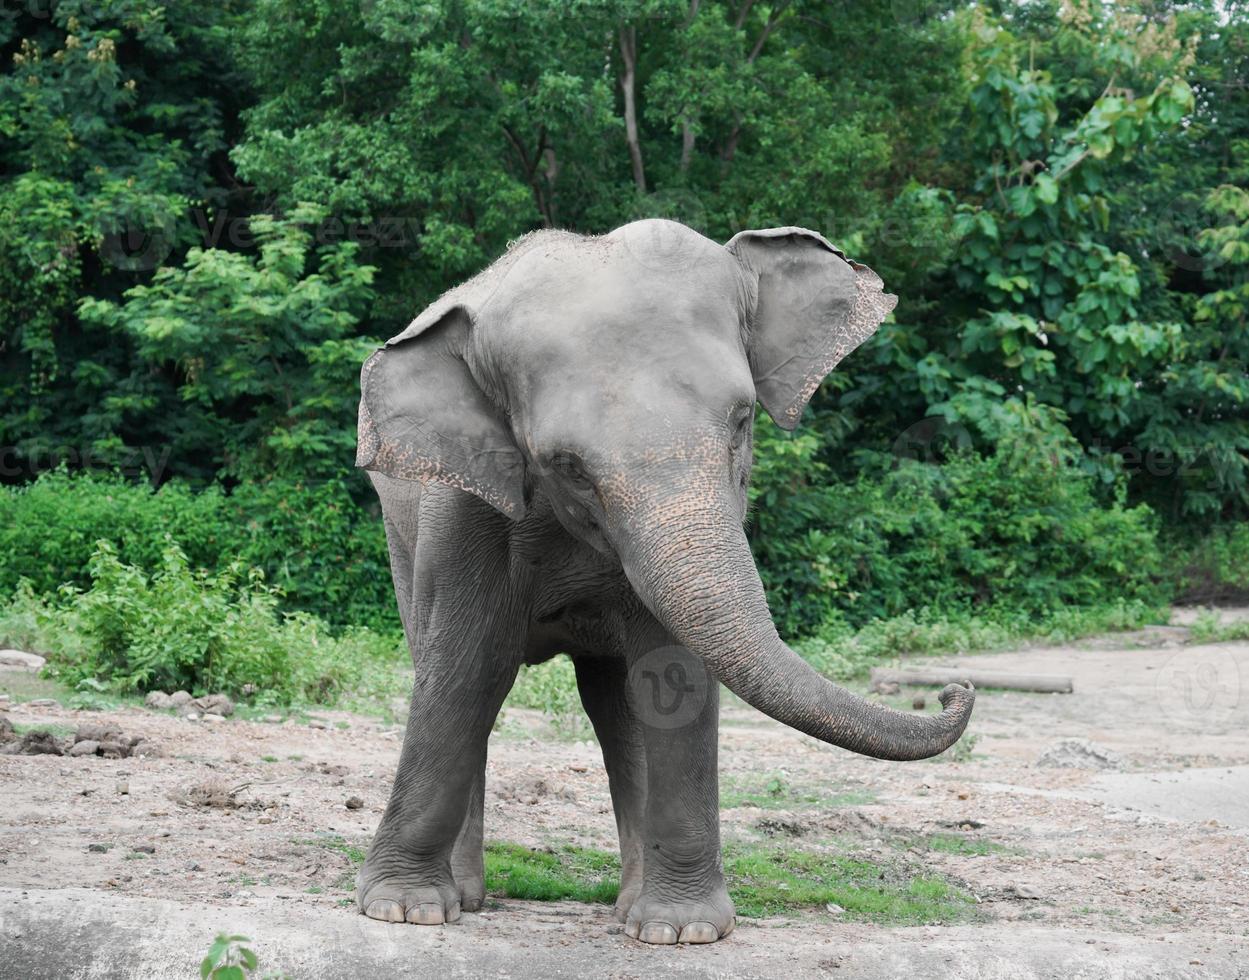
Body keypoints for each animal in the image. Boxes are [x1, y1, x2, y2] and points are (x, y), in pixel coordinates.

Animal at [352, 219, 974, 938]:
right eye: (565, 465)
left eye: (742, 420)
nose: (952, 690)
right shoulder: (465, 505)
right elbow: (467, 667)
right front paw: (405, 911)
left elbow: (671, 672)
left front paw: (682, 929)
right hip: (399, 533)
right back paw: (470, 895)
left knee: (614, 705)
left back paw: (629, 904)